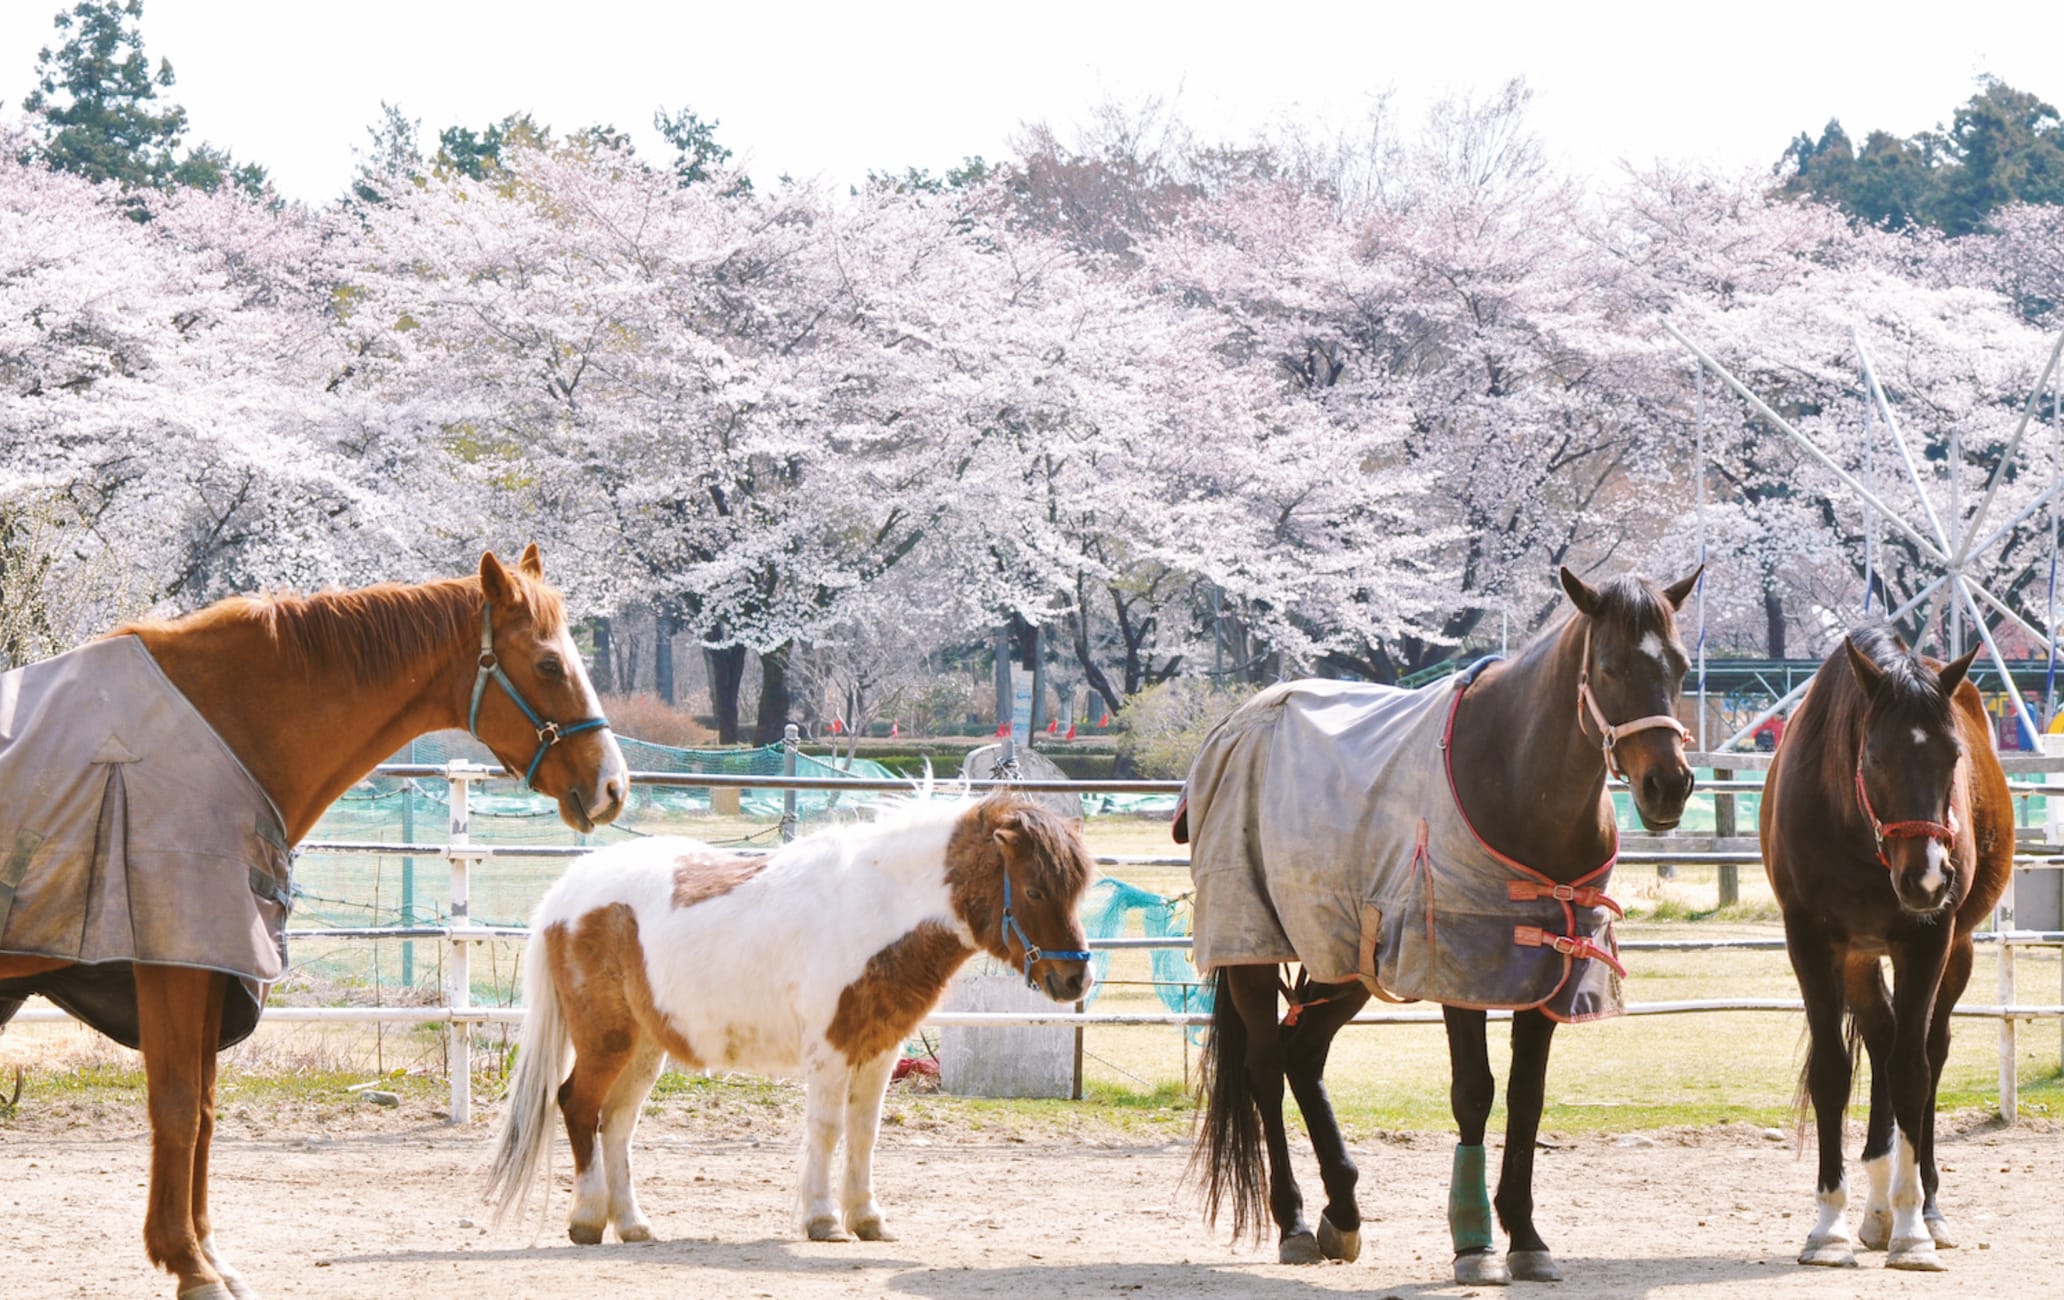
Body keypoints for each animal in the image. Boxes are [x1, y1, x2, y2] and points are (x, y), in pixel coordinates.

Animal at [0, 548, 627, 1300]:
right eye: (548, 665)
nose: (614, 786)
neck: (225, 725)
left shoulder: (215, 963)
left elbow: (204, 1110)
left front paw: (207, 1254)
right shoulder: (175, 963)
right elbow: (177, 1108)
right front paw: (187, 1262)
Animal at [487, 796, 1098, 1254]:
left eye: (1077, 889)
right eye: (1035, 889)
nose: (1075, 980)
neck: (874, 907)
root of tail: (567, 893)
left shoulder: (878, 1051)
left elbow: (864, 1133)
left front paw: (867, 1219)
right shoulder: (830, 1050)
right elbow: (826, 1130)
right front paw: (824, 1220)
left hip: (644, 1047)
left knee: (615, 1123)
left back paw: (633, 1225)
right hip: (605, 1039)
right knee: (577, 1106)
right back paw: (589, 1219)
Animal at [1758, 627, 2014, 1271]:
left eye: (1953, 756)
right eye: (1875, 756)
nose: (1926, 879)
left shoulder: (1927, 940)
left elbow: (1913, 1070)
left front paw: (1913, 1228)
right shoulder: (1812, 940)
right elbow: (1833, 1070)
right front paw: (1828, 1228)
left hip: (1957, 952)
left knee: (1926, 1048)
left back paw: (1923, 1207)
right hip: (1858, 958)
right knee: (1880, 1038)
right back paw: (1875, 1208)